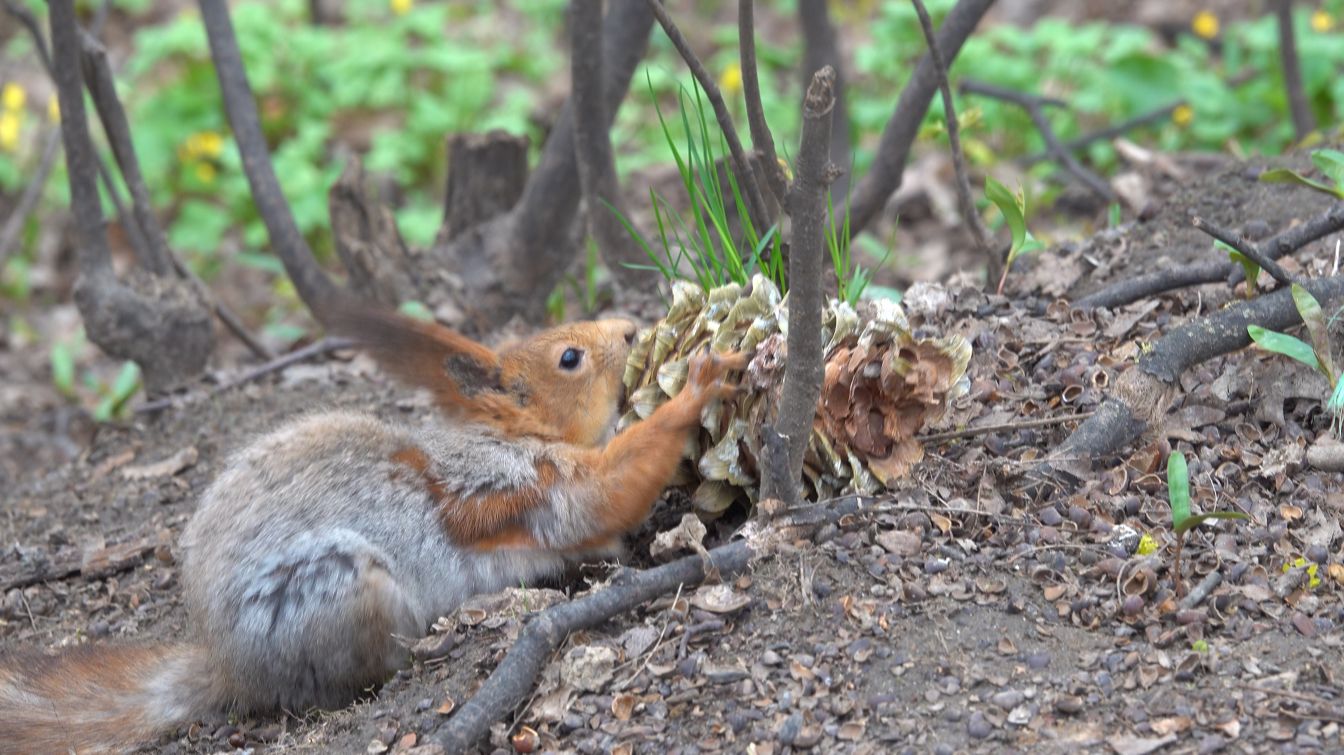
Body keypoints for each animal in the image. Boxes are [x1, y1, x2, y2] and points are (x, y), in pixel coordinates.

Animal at [0, 307, 745, 754]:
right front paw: (699, 383)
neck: (513, 434)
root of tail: (227, 665)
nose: (630, 328)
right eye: (569, 358)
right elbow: (605, 494)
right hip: (340, 586)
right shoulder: (520, 482)